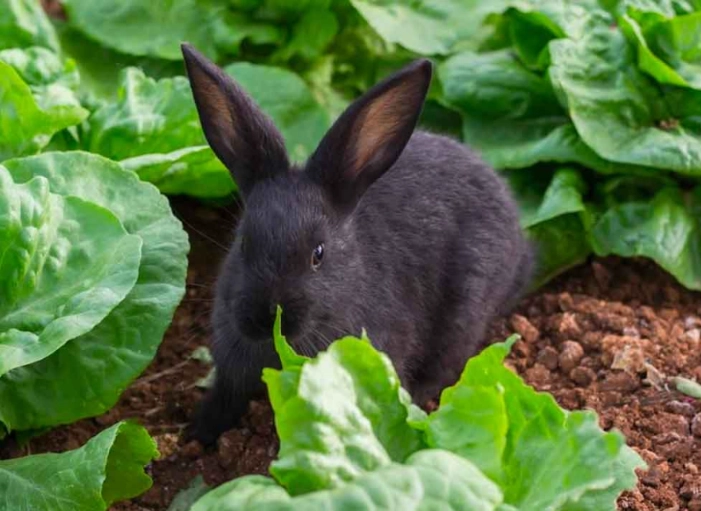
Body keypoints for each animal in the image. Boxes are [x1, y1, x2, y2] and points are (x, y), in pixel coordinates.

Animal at [181, 43, 535, 446]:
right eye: (242, 243)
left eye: (318, 254)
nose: (266, 318)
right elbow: (225, 396)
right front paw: (199, 432)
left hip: (466, 310)